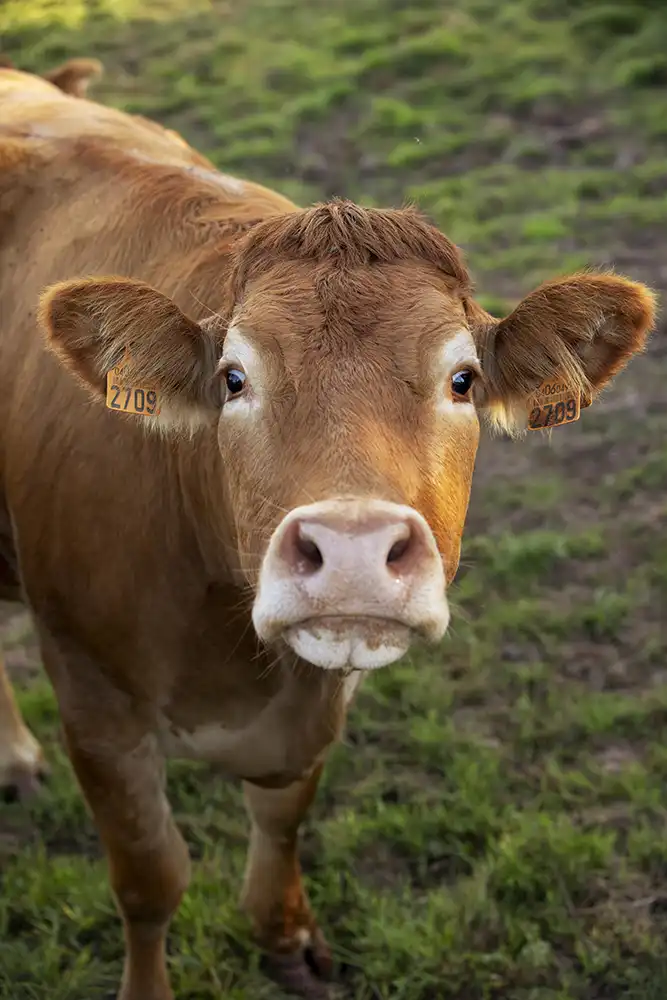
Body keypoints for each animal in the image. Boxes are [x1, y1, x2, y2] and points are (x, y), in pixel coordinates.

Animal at [0, 62, 656, 1000]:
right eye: (234, 378)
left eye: (462, 379)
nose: (351, 555)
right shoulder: (94, 704)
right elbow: (149, 878)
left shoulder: (314, 707)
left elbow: (283, 815)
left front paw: (285, 936)